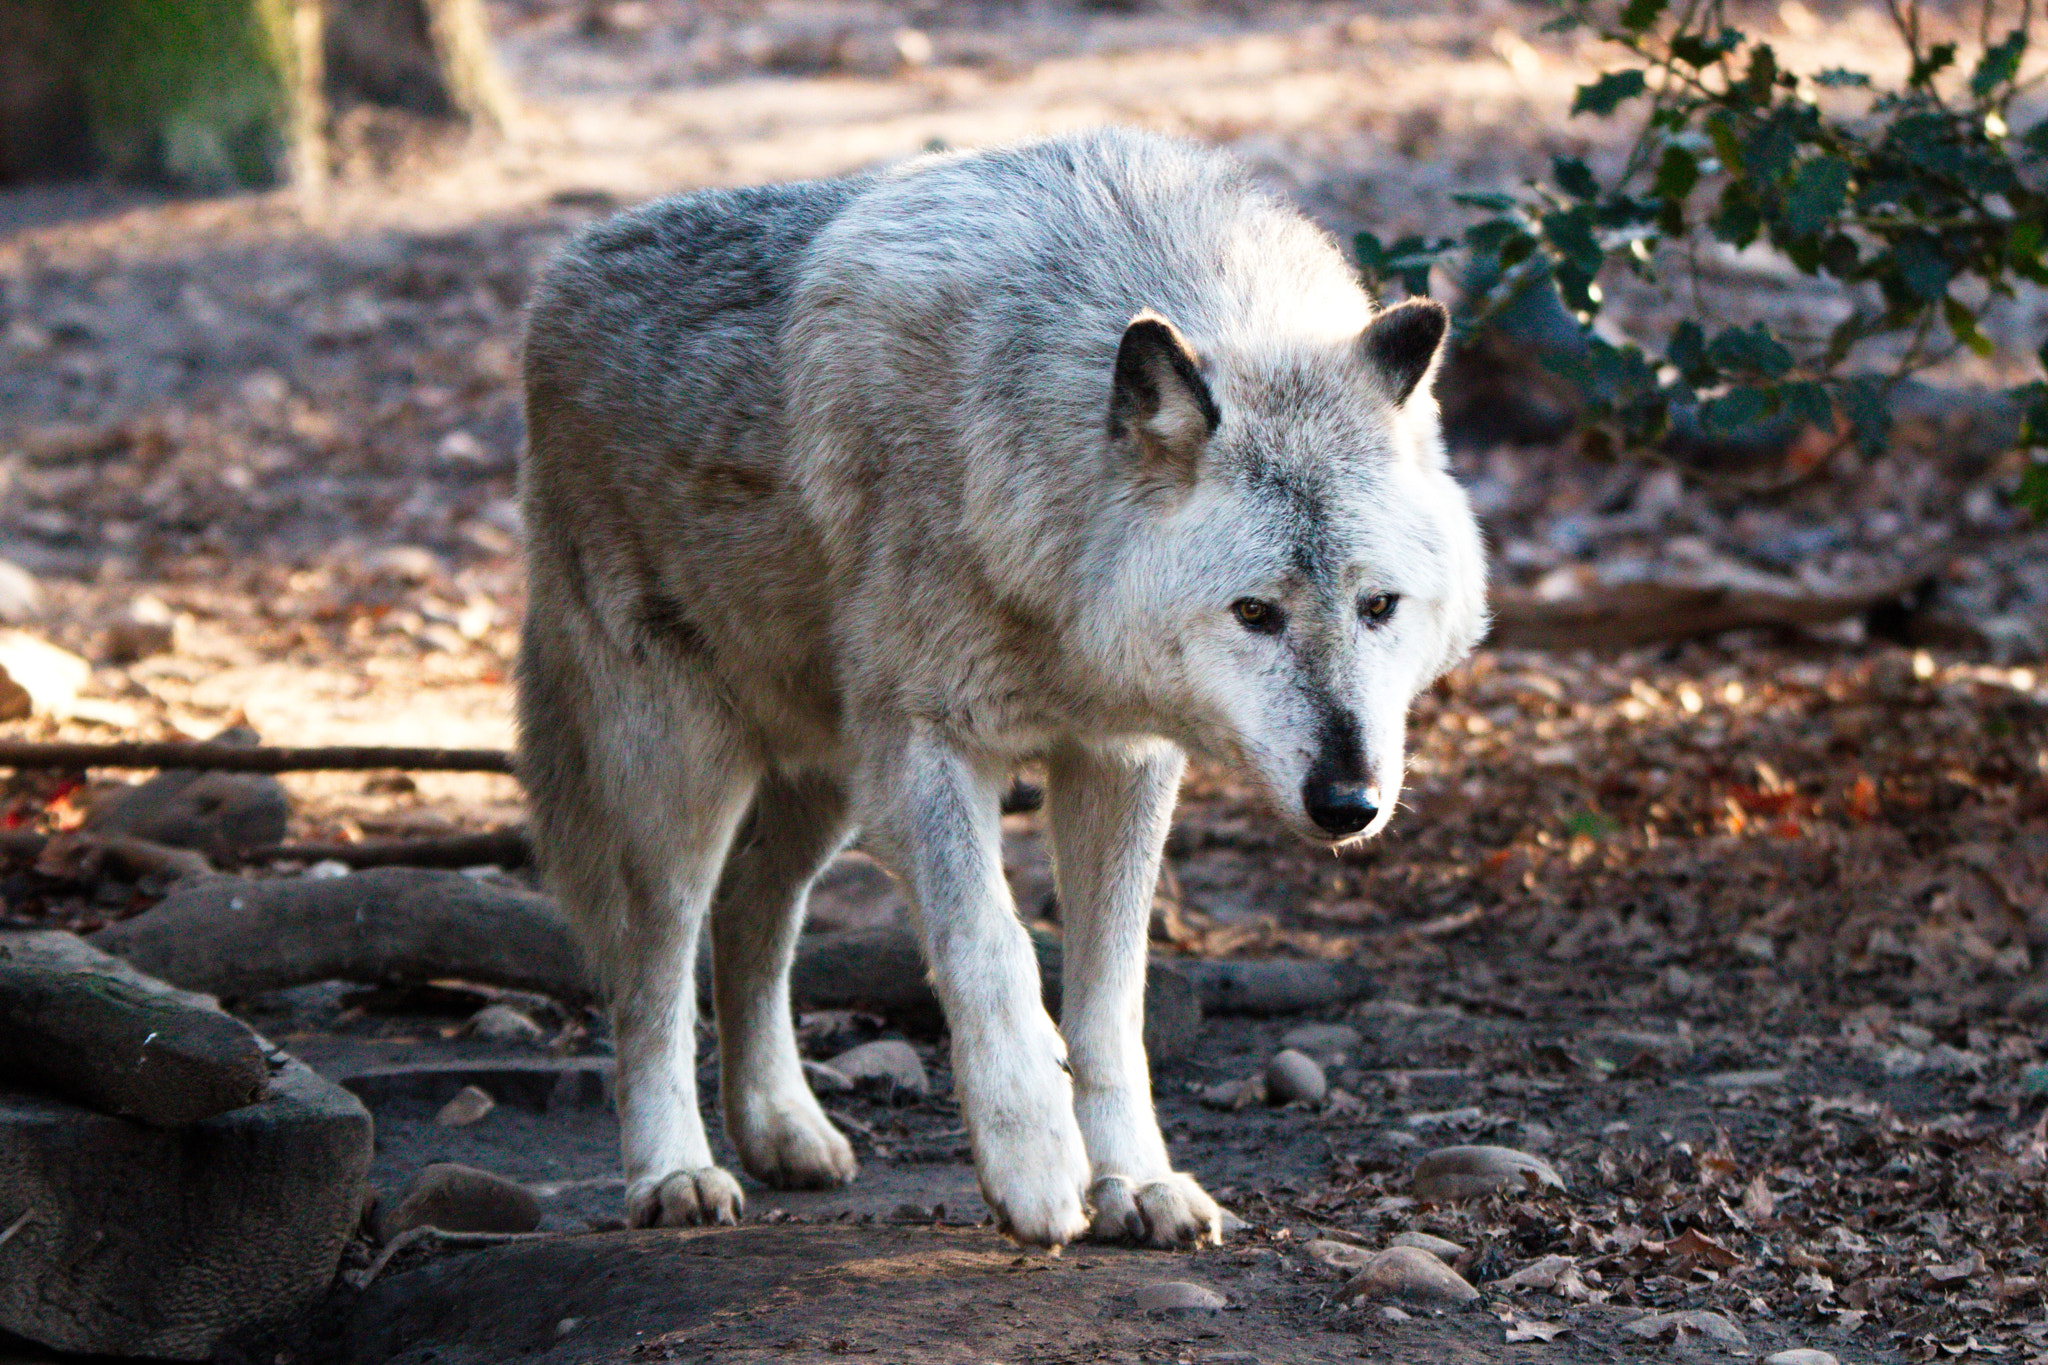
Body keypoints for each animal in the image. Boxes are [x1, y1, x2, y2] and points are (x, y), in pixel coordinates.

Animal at [517, 128, 1487, 1250]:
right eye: (1254, 613)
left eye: (1378, 606)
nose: (1348, 803)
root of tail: (565, 267)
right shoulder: (926, 752)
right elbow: (993, 949)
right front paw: (1034, 1161)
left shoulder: (1119, 762)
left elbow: (1110, 999)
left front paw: (1138, 1181)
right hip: (691, 770)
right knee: (654, 965)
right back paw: (674, 1171)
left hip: (830, 784)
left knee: (752, 911)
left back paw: (781, 1130)